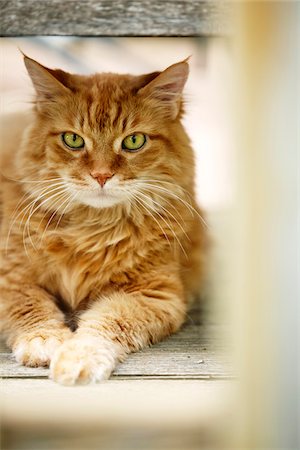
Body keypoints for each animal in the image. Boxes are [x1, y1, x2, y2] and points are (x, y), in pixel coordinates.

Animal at [0, 55, 206, 384]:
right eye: (73, 139)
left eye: (134, 141)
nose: (101, 175)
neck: (92, 228)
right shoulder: (12, 278)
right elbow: (31, 308)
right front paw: (43, 342)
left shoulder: (155, 294)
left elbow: (104, 323)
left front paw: (77, 359)